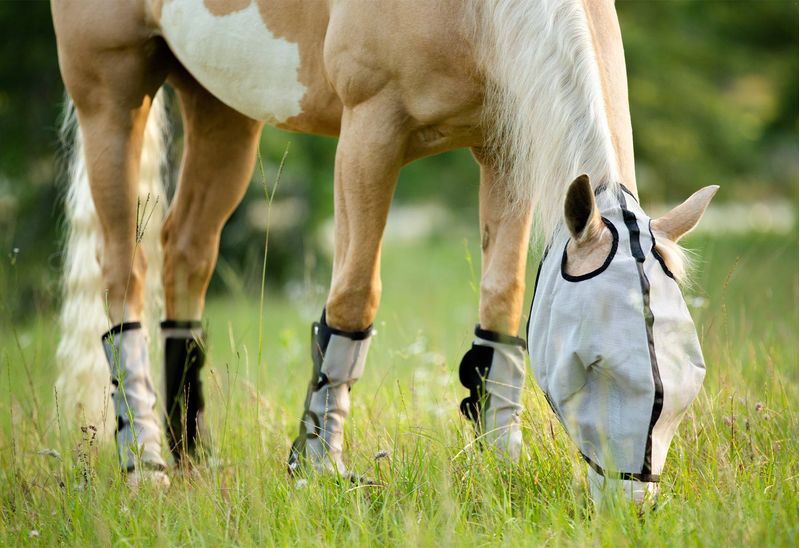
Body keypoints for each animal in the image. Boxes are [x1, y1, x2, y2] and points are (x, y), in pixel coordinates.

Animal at [51, 0, 712, 500]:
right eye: (593, 363)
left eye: (692, 372)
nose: (632, 505)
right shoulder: (369, 134)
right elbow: (352, 299)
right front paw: (318, 470)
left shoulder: (505, 143)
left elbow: (501, 303)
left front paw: (502, 461)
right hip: (112, 92)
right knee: (124, 269)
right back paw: (145, 468)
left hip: (219, 104)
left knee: (185, 251)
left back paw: (191, 460)